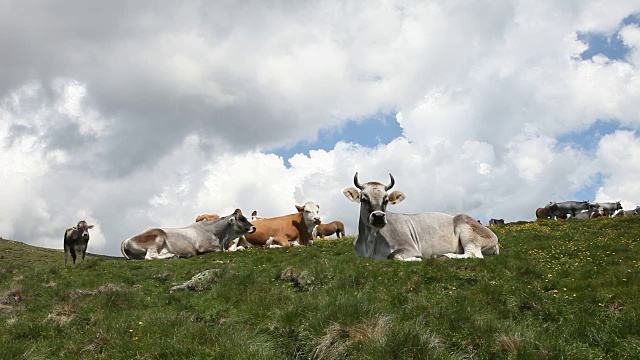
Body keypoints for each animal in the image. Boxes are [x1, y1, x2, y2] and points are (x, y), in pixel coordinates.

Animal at [121, 210, 256, 260]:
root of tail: (126, 239)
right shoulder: (204, 247)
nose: (254, 227)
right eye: (242, 219)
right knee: (150, 256)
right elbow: (220, 250)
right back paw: (172, 255)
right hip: (158, 236)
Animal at [342, 173, 498, 260]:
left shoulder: (410, 247)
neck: (370, 243)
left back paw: (445, 255)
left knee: (473, 255)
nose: (379, 216)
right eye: (364, 199)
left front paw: (417, 259)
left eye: (386, 200)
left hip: (469, 233)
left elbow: (392, 256)